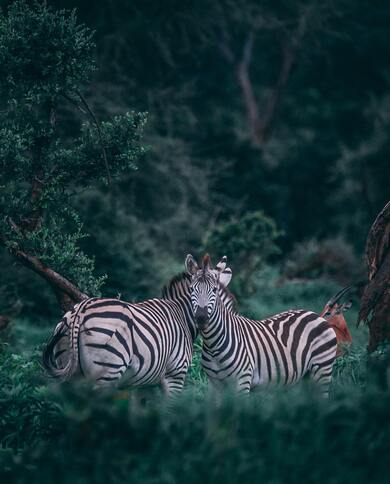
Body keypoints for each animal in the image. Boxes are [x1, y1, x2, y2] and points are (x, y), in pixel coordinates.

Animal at [44, 270, 236, 396]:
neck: (182, 315)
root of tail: (81, 310)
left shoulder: (144, 382)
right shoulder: (175, 373)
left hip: (69, 369)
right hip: (107, 372)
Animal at [184, 253, 336, 398]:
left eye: (214, 290)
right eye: (191, 289)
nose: (201, 318)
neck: (213, 344)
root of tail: (314, 314)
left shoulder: (243, 380)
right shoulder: (214, 384)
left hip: (322, 369)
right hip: (304, 377)